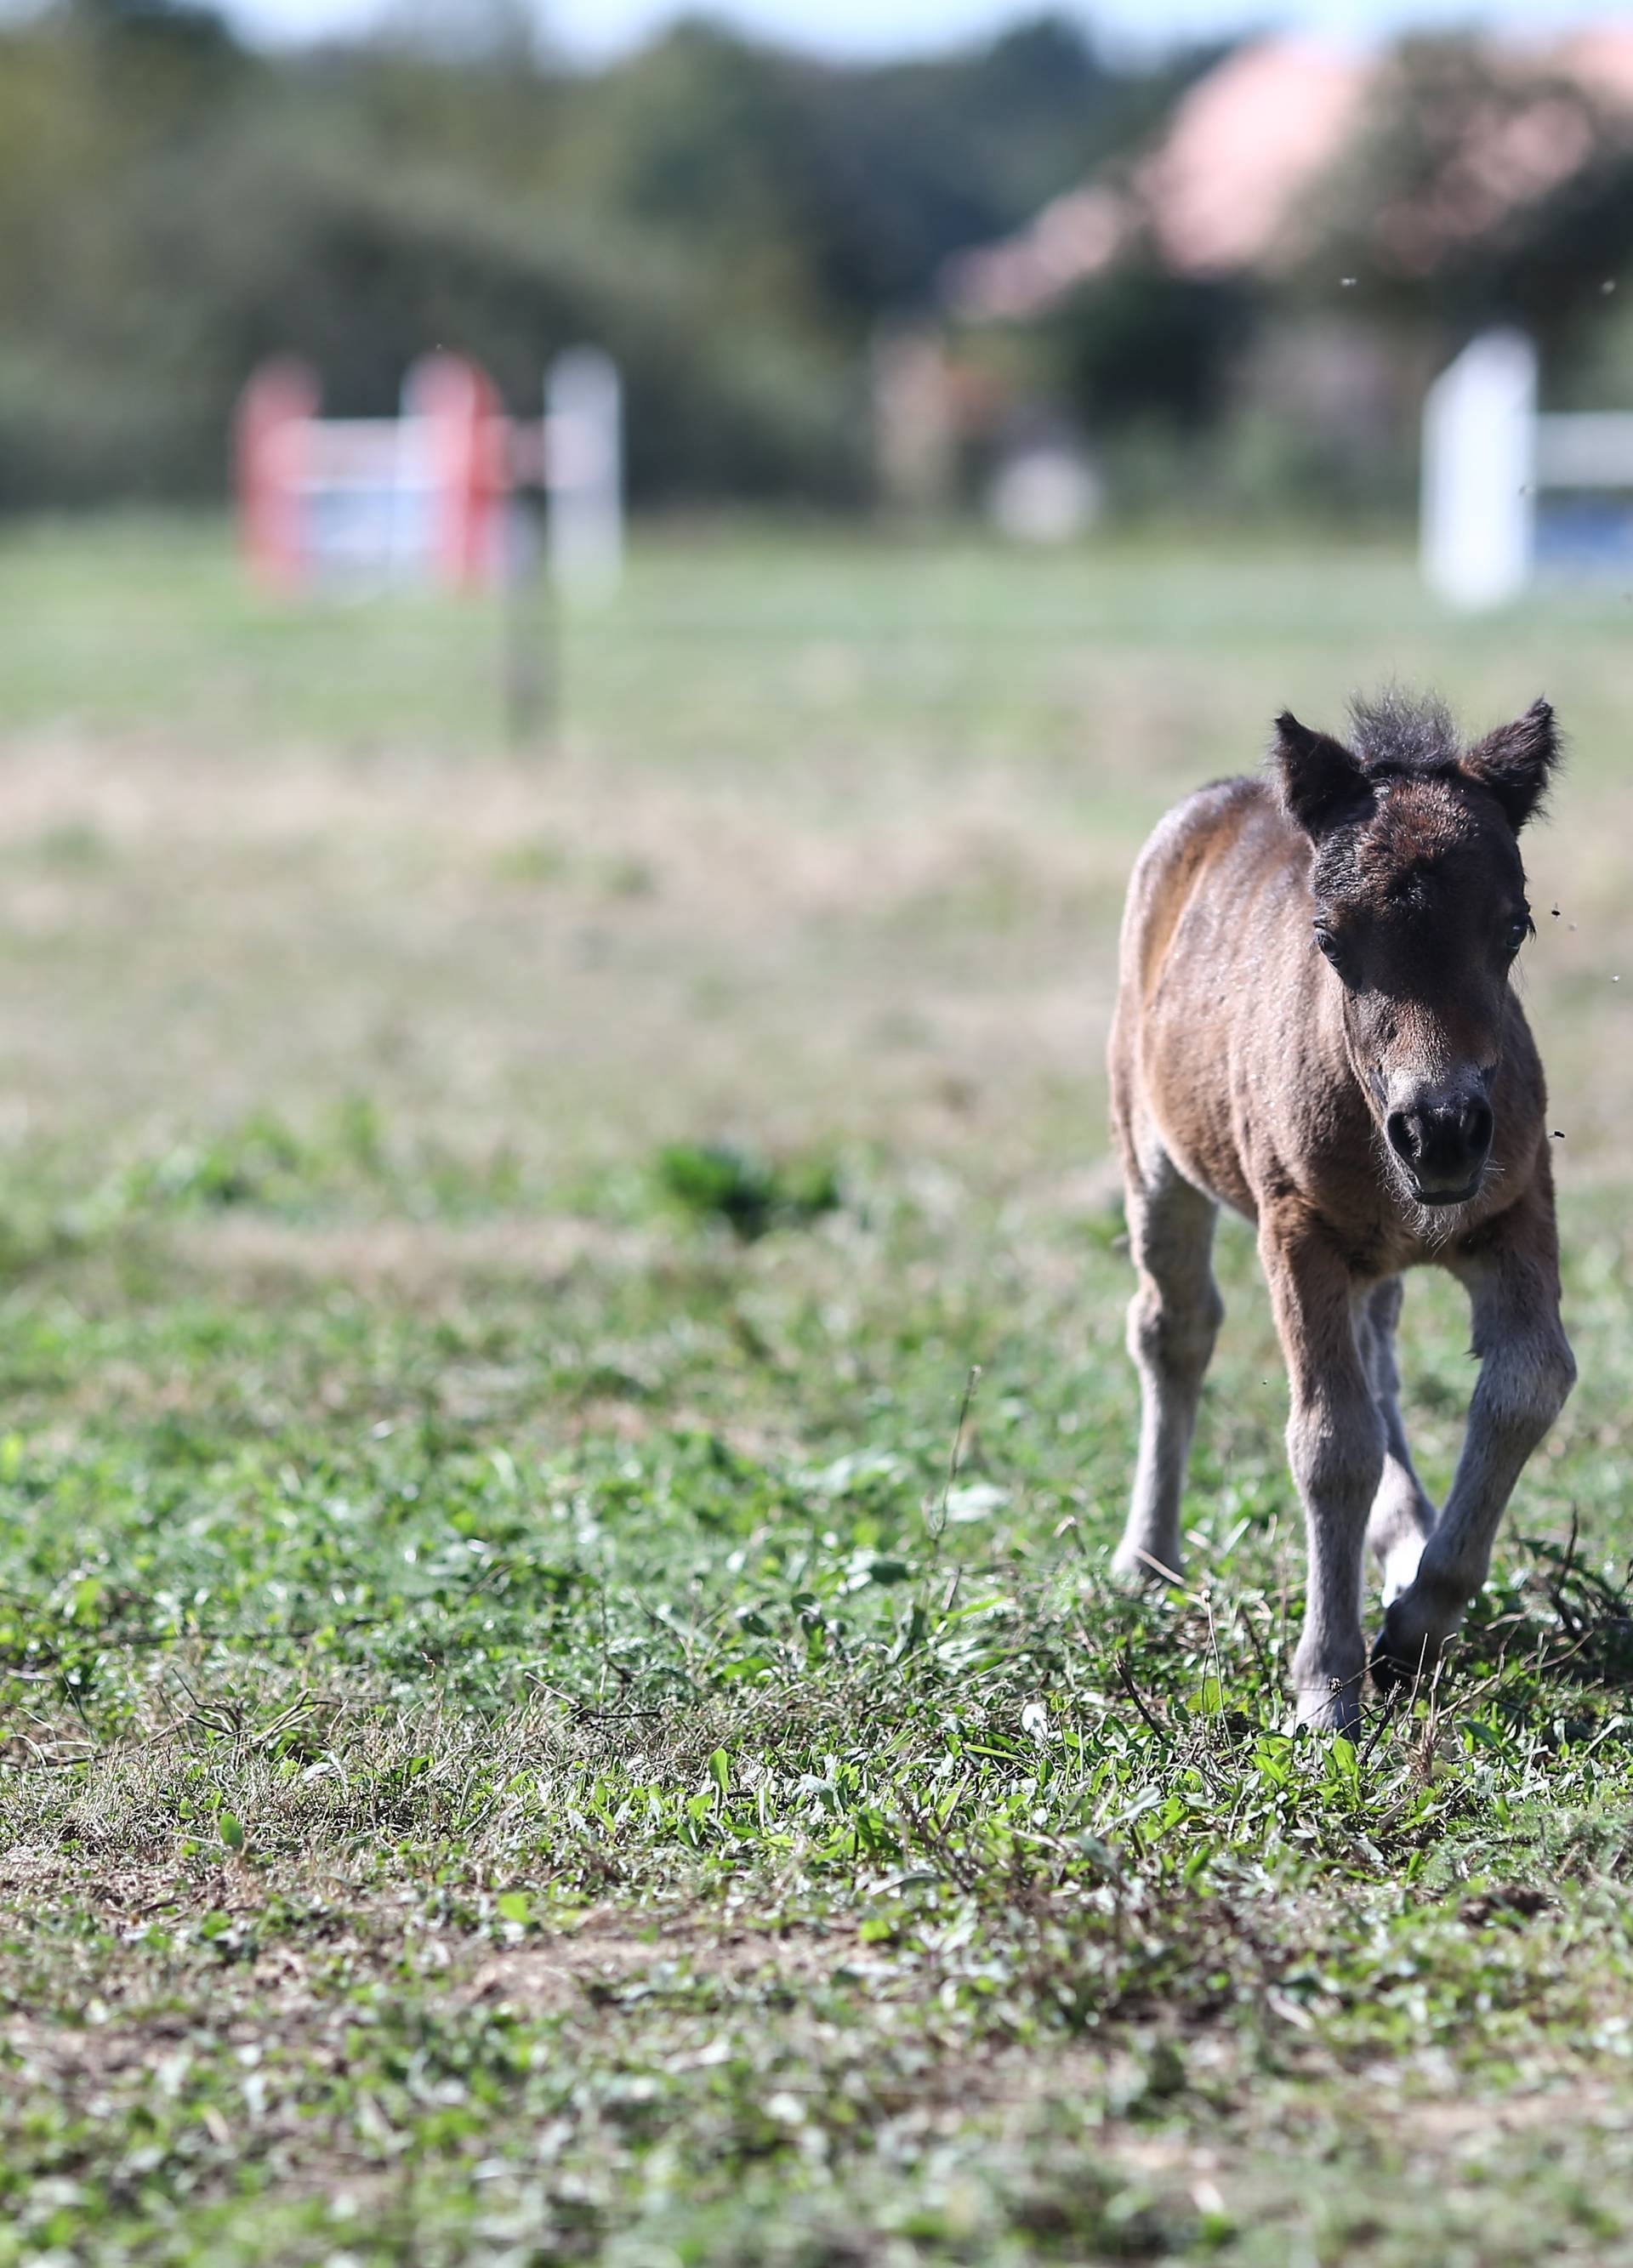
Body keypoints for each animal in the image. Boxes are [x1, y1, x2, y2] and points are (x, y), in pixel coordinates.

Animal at [1111, 689, 1569, 1732]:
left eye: (1514, 929)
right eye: (1328, 937)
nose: (1441, 1132)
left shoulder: (1517, 1207)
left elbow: (1528, 1385)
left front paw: (1417, 1621)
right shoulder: (1299, 1235)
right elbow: (1330, 1444)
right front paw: (1327, 1686)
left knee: (1379, 1347)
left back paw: (1404, 1540)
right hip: (1152, 1156)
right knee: (1173, 1328)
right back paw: (1147, 1561)